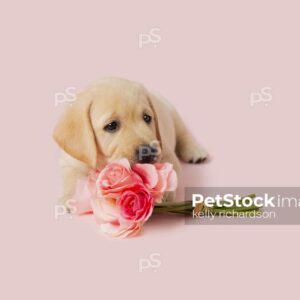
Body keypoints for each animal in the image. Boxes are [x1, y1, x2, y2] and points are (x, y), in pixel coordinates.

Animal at [54, 77, 207, 204]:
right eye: (111, 125)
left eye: (147, 118)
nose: (148, 152)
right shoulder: (71, 161)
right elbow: (73, 178)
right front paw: (70, 197)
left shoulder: (166, 153)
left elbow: (168, 175)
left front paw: (162, 194)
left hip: (173, 114)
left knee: (183, 134)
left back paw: (195, 151)